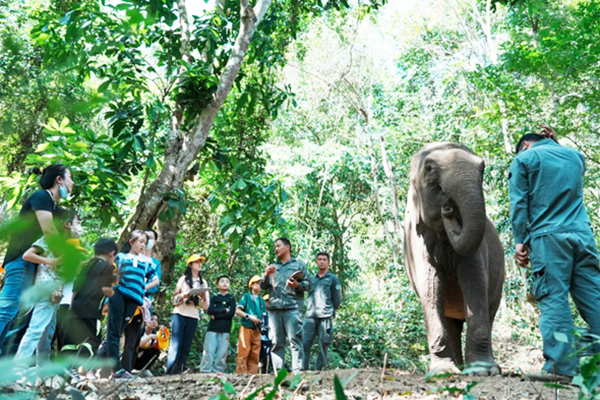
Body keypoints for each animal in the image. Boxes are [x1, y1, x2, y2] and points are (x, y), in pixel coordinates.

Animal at [404, 141, 506, 376]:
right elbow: (430, 287)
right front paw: (442, 371)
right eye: (429, 168)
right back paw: (456, 368)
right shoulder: (417, 242)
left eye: (482, 168)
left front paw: (482, 372)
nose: (448, 208)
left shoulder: (478, 249)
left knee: (489, 313)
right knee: (451, 323)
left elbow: (475, 281)